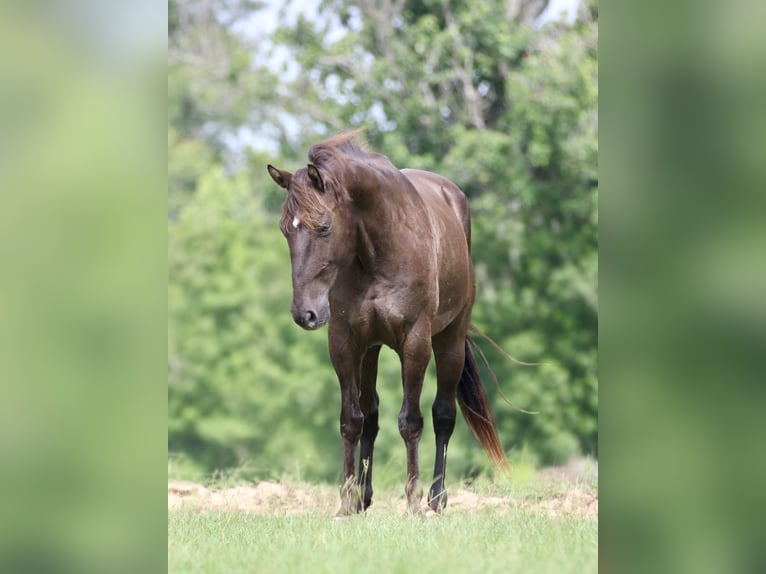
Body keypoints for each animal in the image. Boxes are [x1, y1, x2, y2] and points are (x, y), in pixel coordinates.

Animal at [267, 131, 508, 516]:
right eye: (284, 230)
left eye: (324, 227)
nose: (305, 313)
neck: (377, 252)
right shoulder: (346, 342)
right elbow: (352, 420)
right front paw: (346, 503)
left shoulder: (415, 342)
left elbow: (411, 421)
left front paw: (412, 504)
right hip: (372, 350)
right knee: (371, 415)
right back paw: (364, 498)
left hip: (450, 341)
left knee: (443, 414)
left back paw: (436, 499)